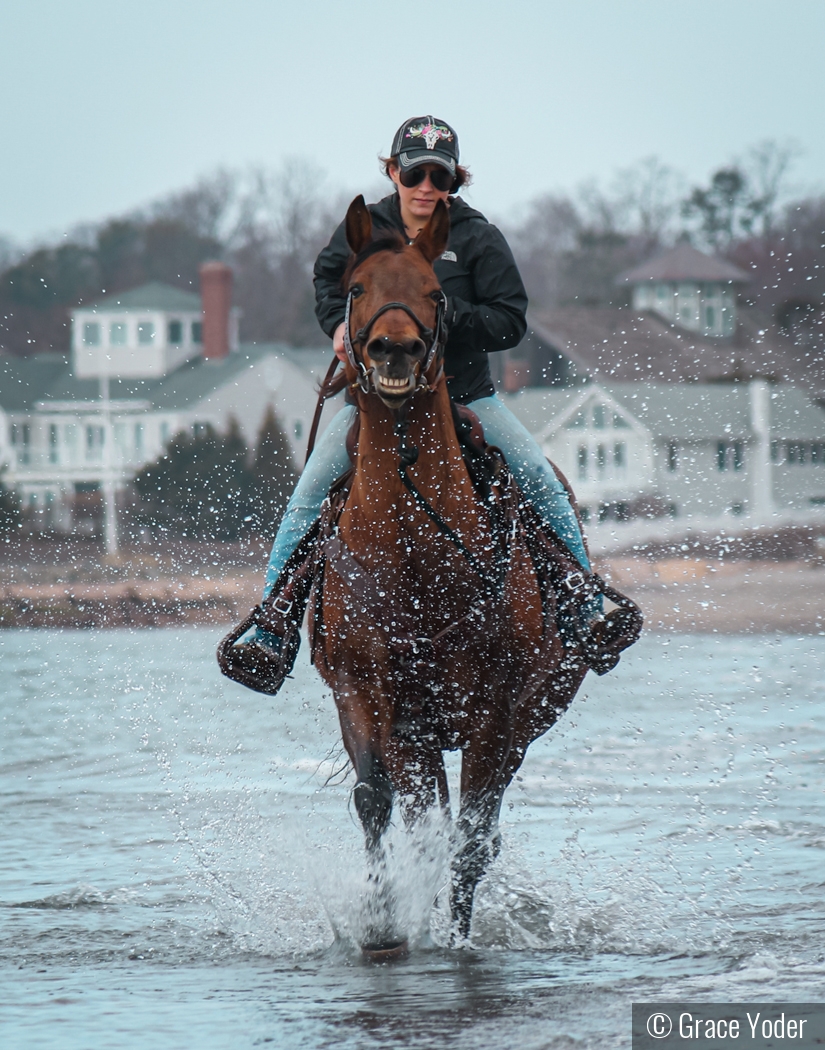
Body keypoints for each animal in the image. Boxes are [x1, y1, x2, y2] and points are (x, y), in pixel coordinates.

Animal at [304, 197, 596, 953]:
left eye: (438, 293)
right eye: (355, 288)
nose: (395, 350)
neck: (411, 552)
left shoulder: (498, 709)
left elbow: (471, 836)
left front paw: (457, 939)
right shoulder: (364, 692)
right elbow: (374, 803)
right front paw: (380, 923)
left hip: (525, 718)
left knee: (476, 828)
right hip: (419, 734)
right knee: (419, 814)